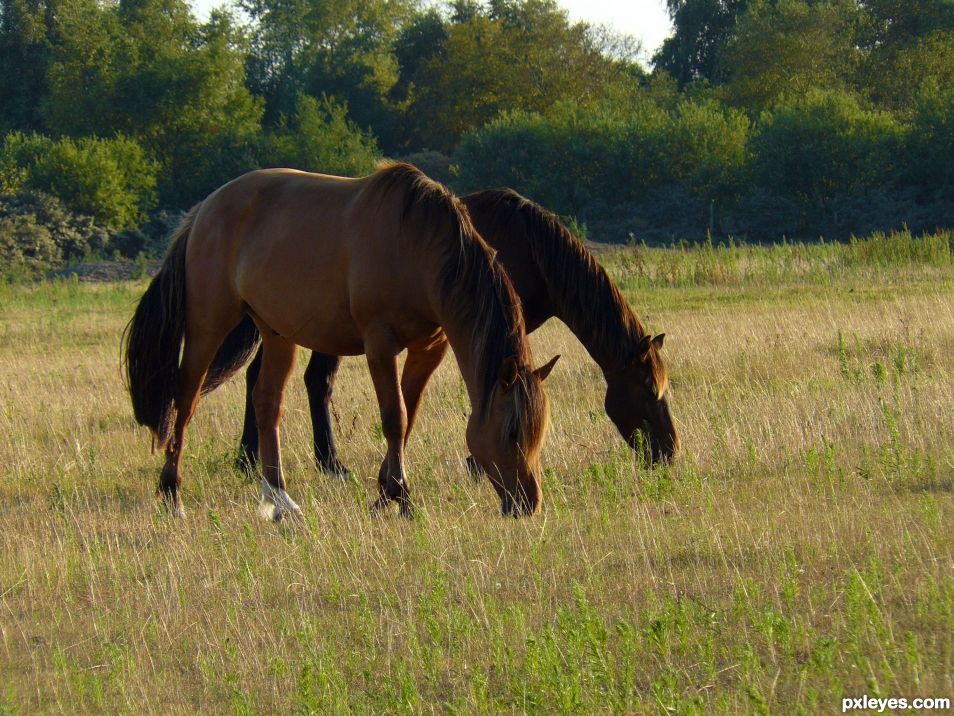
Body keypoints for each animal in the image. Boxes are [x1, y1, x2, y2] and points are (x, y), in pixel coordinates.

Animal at [125, 162, 556, 520]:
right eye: (512, 430)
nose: (527, 503)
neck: (416, 245)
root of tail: (204, 210)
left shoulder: (428, 349)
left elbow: (409, 416)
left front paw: (384, 493)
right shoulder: (379, 345)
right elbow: (395, 417)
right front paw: (401, 497)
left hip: (276, 332)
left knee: (267, 403)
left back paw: (279, 500)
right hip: (208, 326)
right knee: (185, 402)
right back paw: (172, 494)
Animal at [237, 187, 676, 476]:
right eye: (648, 390)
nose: (670, 451)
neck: (532, 248)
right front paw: (478, 462)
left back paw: (260, 459)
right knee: (308, 381)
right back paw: (307, 462)